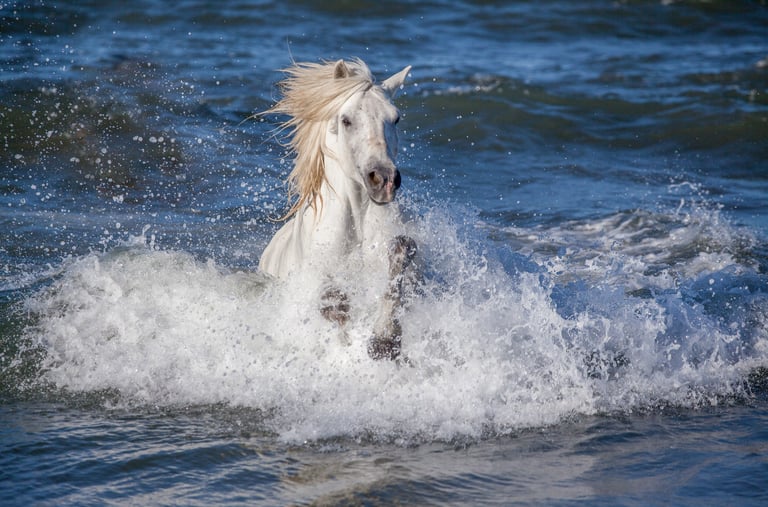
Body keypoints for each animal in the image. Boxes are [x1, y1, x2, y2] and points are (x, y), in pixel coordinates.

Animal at [258, 58, 416, 362]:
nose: (384, 179)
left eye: (396, 118)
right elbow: (334, 306)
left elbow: (401, 259)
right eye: (346, 120)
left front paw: (384, 340)